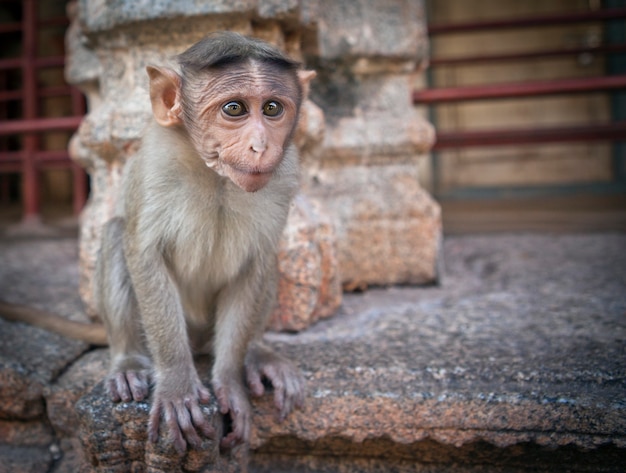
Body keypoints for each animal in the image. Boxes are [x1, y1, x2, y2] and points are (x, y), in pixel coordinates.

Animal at [0, 31, 312, 452]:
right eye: (234, 109)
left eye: (273, 108)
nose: (261, 146)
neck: (216, 176)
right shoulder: (155, 166)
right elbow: (145, 256)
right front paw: (177, 385)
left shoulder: (283, 177)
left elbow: (257, 263)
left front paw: (230, 381)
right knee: (117, 234)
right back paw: (129, 360)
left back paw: (258, 352)